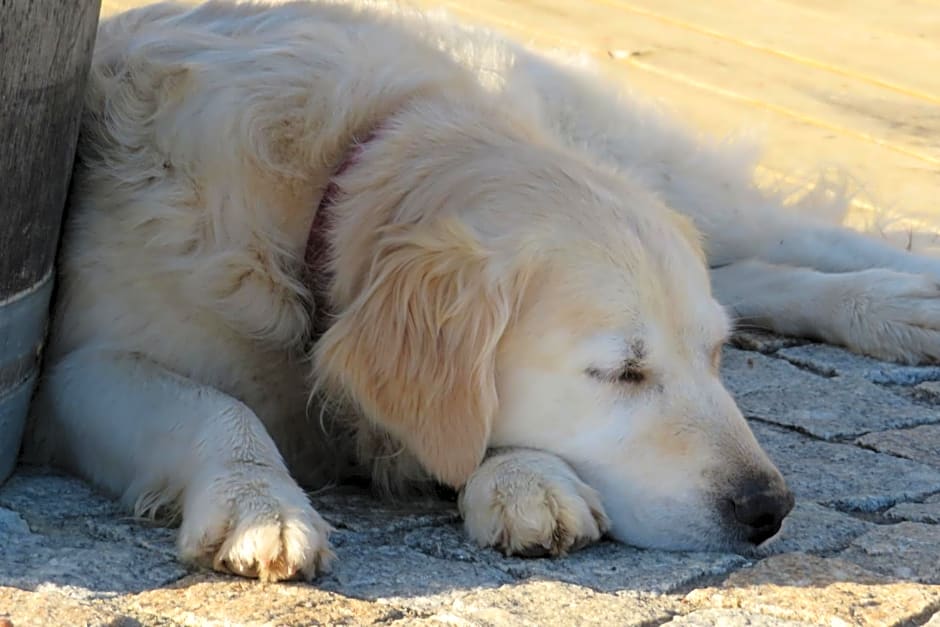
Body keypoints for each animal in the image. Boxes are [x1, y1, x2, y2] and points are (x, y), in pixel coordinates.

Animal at [20, 0, 940, 584]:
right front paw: (260, 507)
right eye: (621, 372)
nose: (769, 507)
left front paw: (522, 477)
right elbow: (218, 409)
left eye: (715, 360)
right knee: (747, 271)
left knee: (786, 235)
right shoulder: (69, 373)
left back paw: (904, 297)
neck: (322, 181)